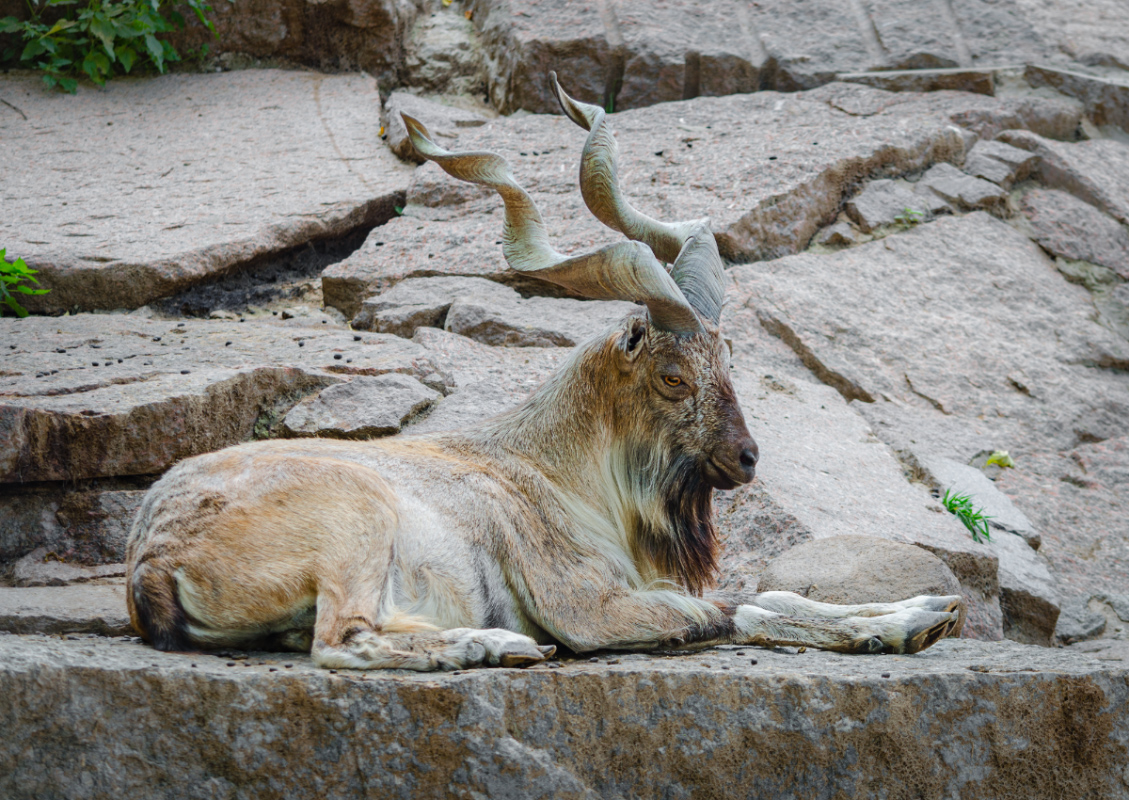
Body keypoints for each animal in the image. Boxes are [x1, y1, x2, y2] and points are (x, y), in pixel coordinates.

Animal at [129, 75, 961, 667]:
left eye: (727, 359)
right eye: (671, 375)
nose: (746, 457)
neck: (555, 471)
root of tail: (154, 558)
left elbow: (774, 595)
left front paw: (923, 617)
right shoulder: (595, 606)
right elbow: (741, 608)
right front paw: (914, 618)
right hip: (354, 522)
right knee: (339, 643)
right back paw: (493, 645)